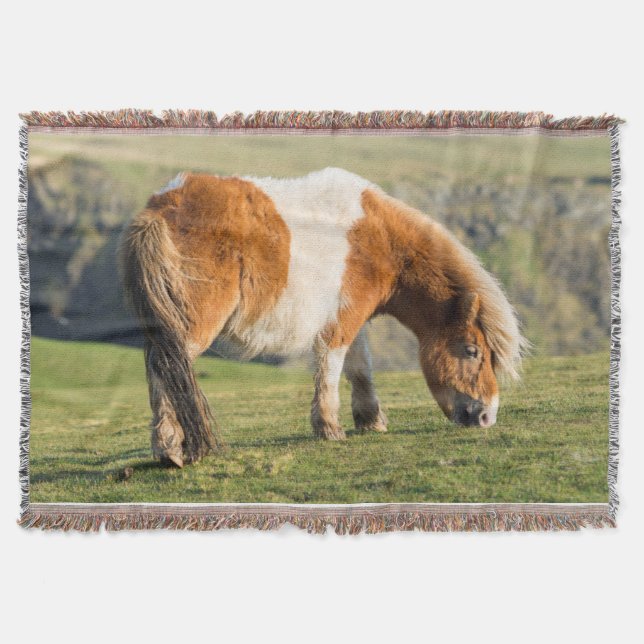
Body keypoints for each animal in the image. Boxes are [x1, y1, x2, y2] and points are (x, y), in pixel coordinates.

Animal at [120, 167, 525, 467]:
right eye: (472, 351)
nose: (487, 416)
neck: (379, 237)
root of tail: (160, 208)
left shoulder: (354, 320)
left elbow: (360, 370)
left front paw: (370, 421)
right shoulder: (341, 325)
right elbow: (331, 371)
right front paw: (330, 428)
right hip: (190, 330)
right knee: (165, 369)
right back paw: (169, 448)